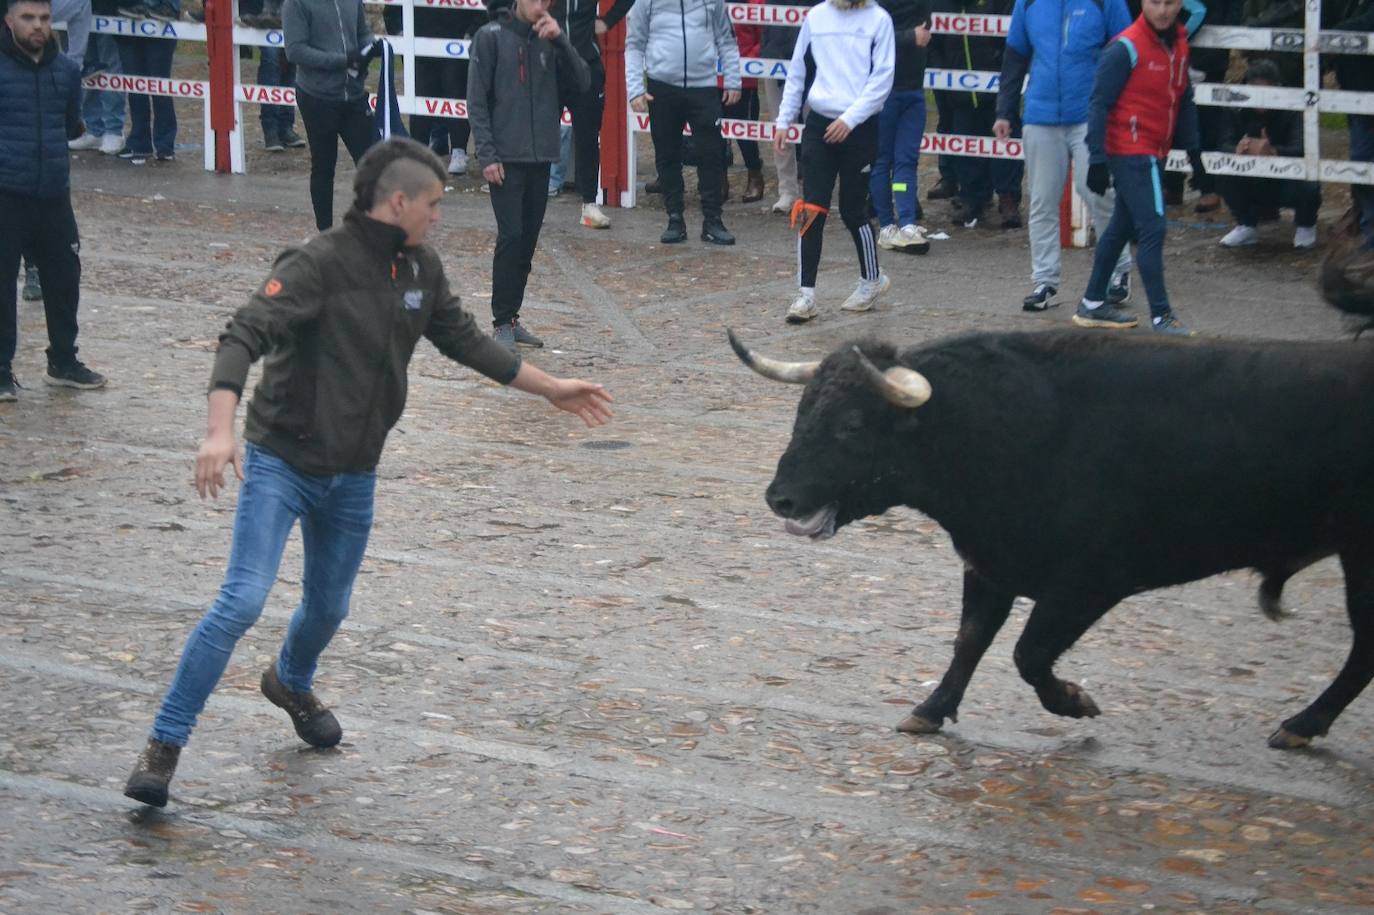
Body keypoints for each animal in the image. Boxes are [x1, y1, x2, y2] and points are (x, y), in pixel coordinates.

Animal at [736, 324, 1374, 747]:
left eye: (851, 424)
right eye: (801, 411)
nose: (779, 497)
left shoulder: (1088, 584)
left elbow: (1028, 653)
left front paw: (1074, 702)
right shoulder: (990, 566)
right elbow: (970, 641)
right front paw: (931, 708)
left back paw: (1302, 724)